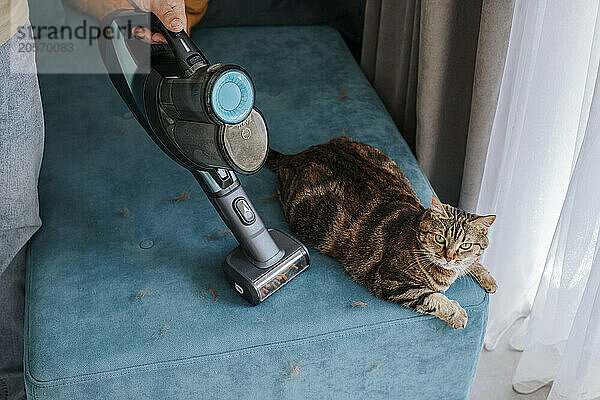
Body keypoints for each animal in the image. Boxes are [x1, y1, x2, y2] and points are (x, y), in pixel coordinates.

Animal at [268, 136, 496, 330]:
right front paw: (457, 313)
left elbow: (473, 262)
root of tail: (299, 154)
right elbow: (432, 298)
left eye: (465, 245)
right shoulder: (389, 282)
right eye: (439, 238)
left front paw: (488, 279)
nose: (448, 257)